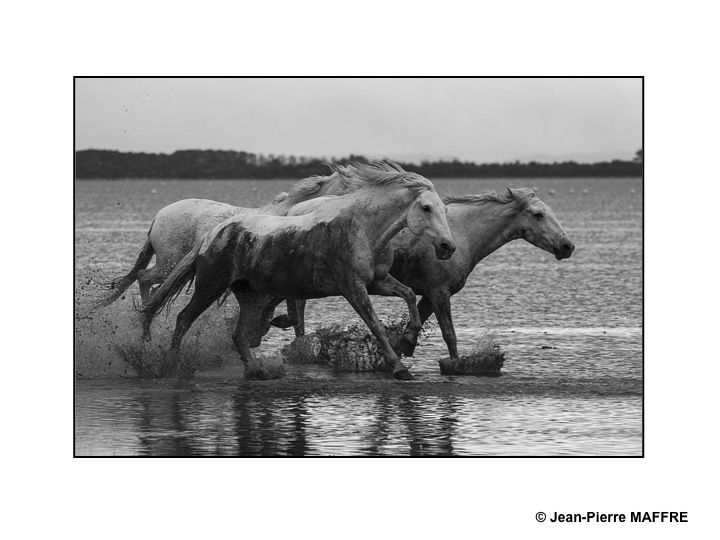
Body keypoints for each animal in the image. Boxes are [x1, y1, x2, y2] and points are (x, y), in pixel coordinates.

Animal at [141, 161, 456, 380]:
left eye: (445, 209)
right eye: (426, 208)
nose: (447, 247)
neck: (363, 228)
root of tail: (212, 234)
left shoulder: (377, 281)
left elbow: (409, 296)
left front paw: (409, 338)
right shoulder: (352, 287)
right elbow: (375, 326)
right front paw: (400, 369)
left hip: (251, 295)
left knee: (239, 335)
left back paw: (257, 371)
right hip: (210, 285)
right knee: (182, 317)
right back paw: (172, 364)